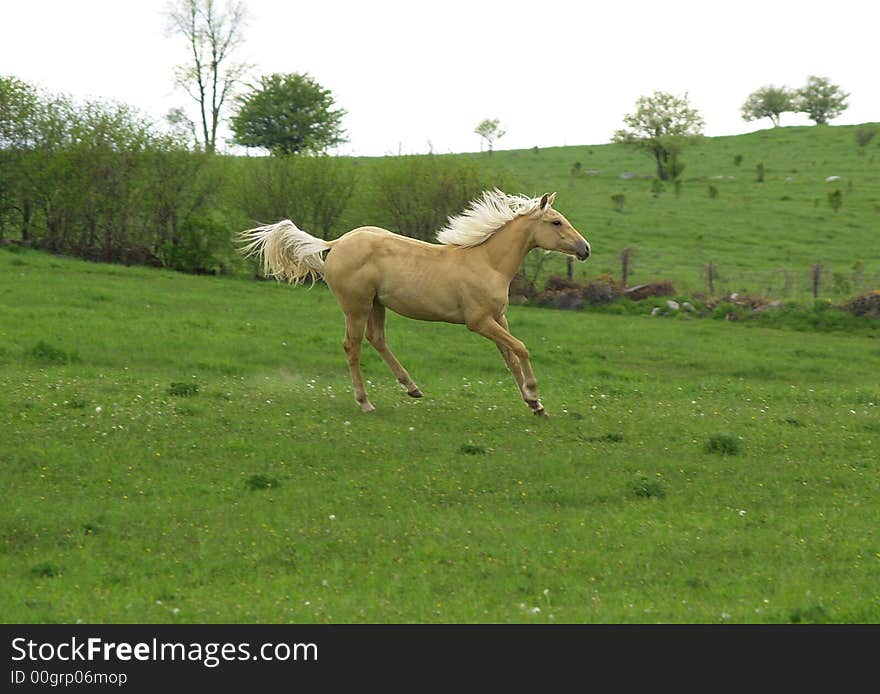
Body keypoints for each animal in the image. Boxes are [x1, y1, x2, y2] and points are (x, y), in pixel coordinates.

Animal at [239, 189, 592, 414]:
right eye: (556, 222)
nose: (585, 248)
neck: (488, 262)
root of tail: (335, 243)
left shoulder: (498, 319)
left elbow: (511, 357)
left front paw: (535, 405)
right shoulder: (479, 322)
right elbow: (521, 348)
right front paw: (534, 393)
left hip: (377, 304)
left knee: (377, 339)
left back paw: (411, 387)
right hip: (356, 306)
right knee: (353, 346)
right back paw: (365, 402)